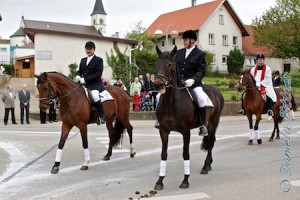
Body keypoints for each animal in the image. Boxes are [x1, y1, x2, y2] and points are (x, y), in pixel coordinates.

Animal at [154, 46, 224, 190]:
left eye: (170, 65)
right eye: (156, 63)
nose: (157, 85)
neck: (170, 103)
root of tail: (216, 90)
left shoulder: (186, 132)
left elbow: (185, 154)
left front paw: (185, 180)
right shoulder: (163, 131)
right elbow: (163, 154)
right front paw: (160, 181)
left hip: (213, 123)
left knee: (211, 141)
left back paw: (206, 166)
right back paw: (208, 165)